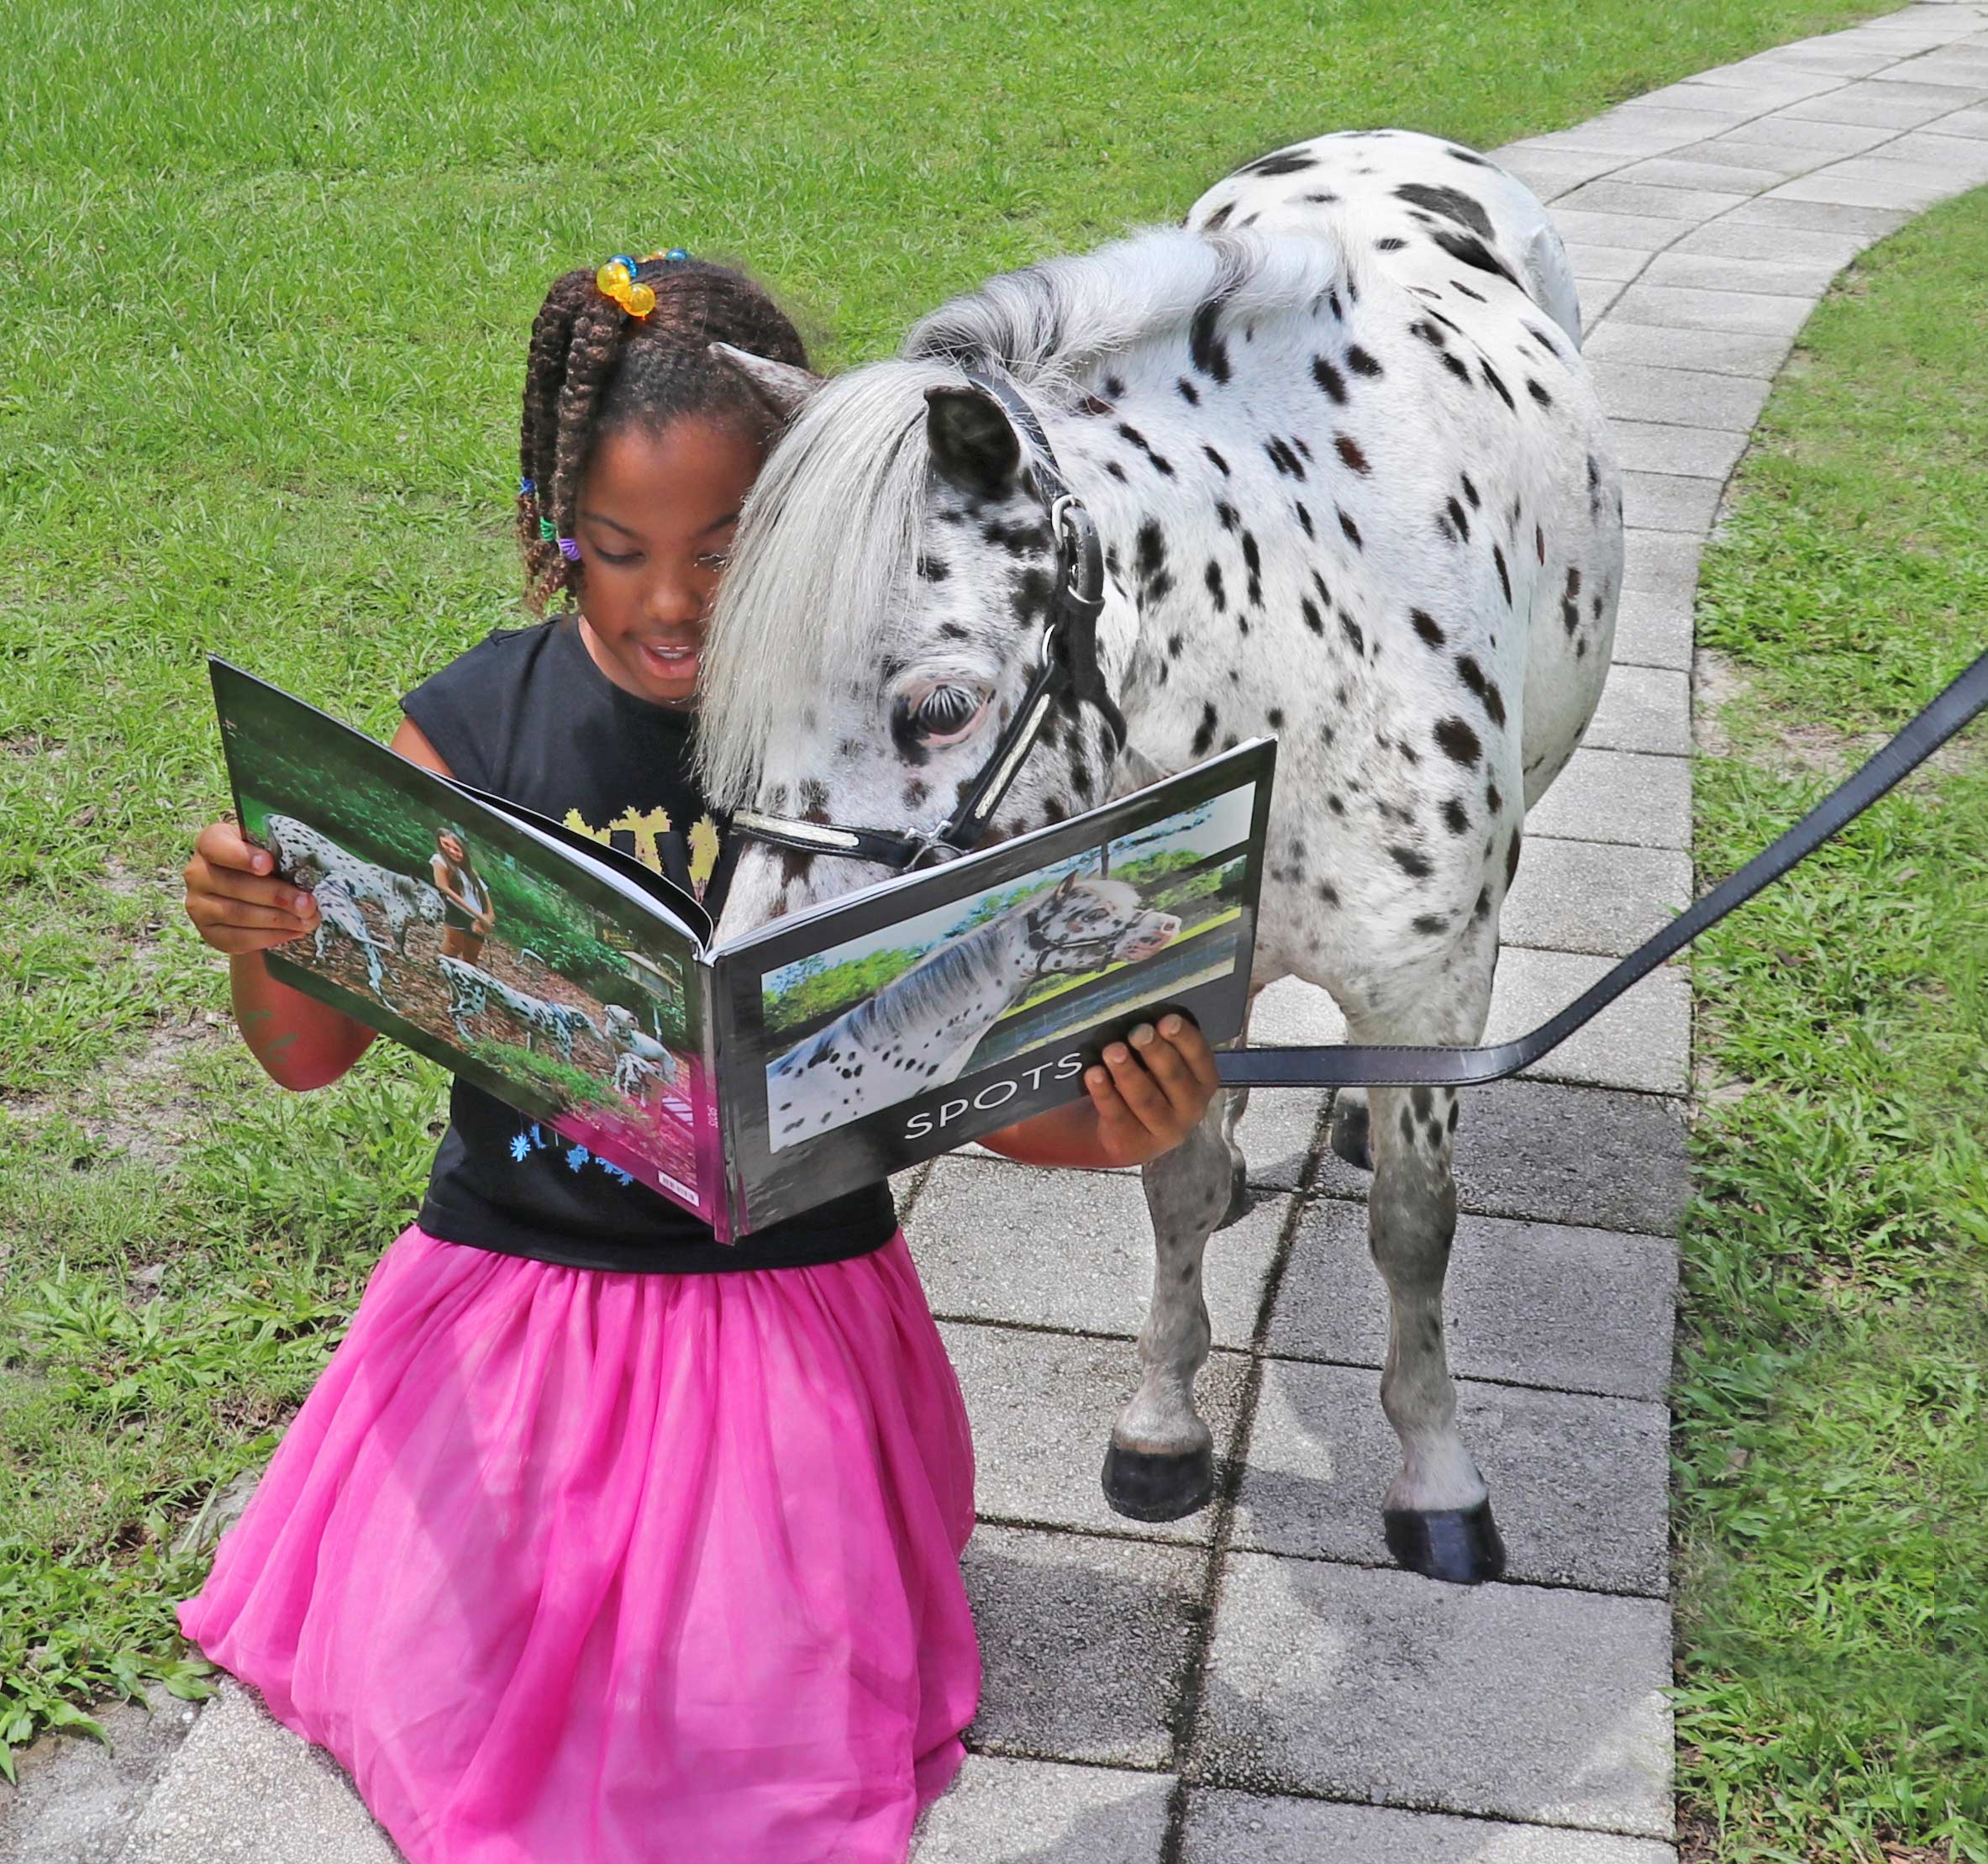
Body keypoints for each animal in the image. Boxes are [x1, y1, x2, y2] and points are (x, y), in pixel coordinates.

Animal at [692, 127, 1622, 1583]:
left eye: (941, 706)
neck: (1298, 650)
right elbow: (1174, 1189)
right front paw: (1163, 1423)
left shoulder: (1430, 989)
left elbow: (1416, 1227)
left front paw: (1437, 1476)